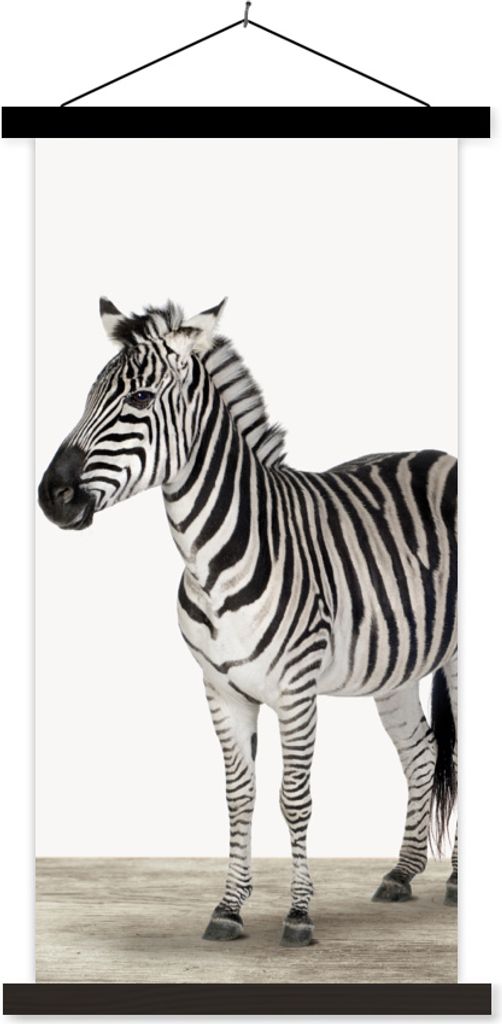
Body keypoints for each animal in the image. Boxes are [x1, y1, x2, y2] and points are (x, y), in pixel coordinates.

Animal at [38, 295, 457, 947]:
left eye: (140, 399)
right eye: (88, 397)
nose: (50, 496)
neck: (210, 559)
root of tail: (446, 455)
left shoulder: (296, 689)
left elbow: (294, 797)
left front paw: (299, 914)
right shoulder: (221, 689)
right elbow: (239, 797)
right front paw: (229, 908)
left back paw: (458, 882)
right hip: (394, 665)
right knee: (420, 751)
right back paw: (402, 872)